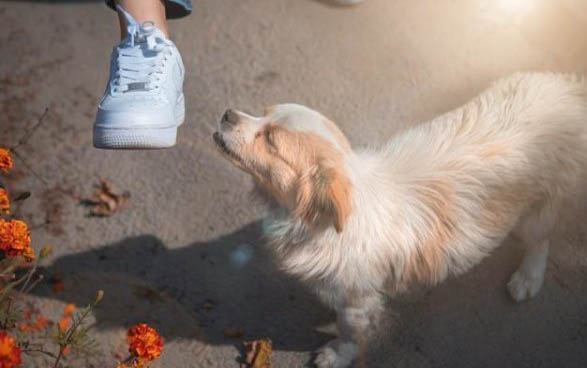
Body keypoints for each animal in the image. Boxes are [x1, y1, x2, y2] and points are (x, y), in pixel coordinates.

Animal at [211, 72, 587, 368]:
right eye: (261, 114)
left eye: (270, 139)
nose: (227, 114)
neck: (314, 221)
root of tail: (566, 88)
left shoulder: (358, 300)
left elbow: (351, 331)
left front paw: (336, 354)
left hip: (534, 212)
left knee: (541, 239)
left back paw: (528, 277)